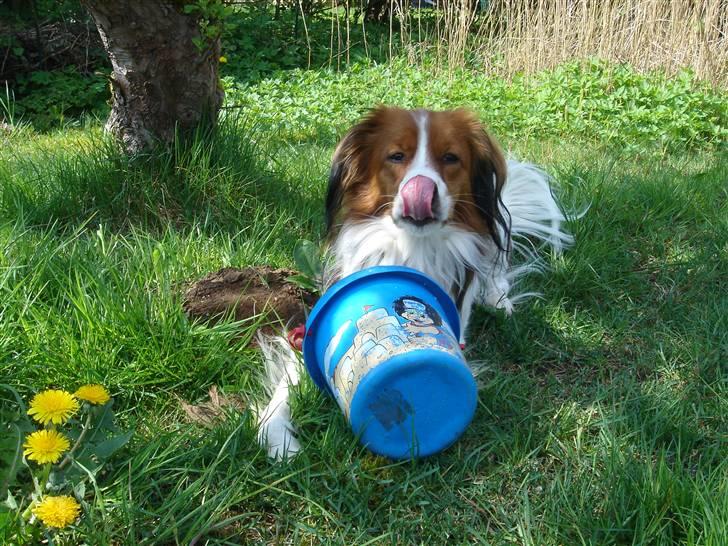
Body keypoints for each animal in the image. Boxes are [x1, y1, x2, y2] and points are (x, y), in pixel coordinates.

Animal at [253, 107, 572, 460]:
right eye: (396, 156)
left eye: (451, 158)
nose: (422, 188)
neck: (412, 247)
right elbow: (285, 389)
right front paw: (279, 437)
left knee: (496, 265)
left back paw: (499, 300)